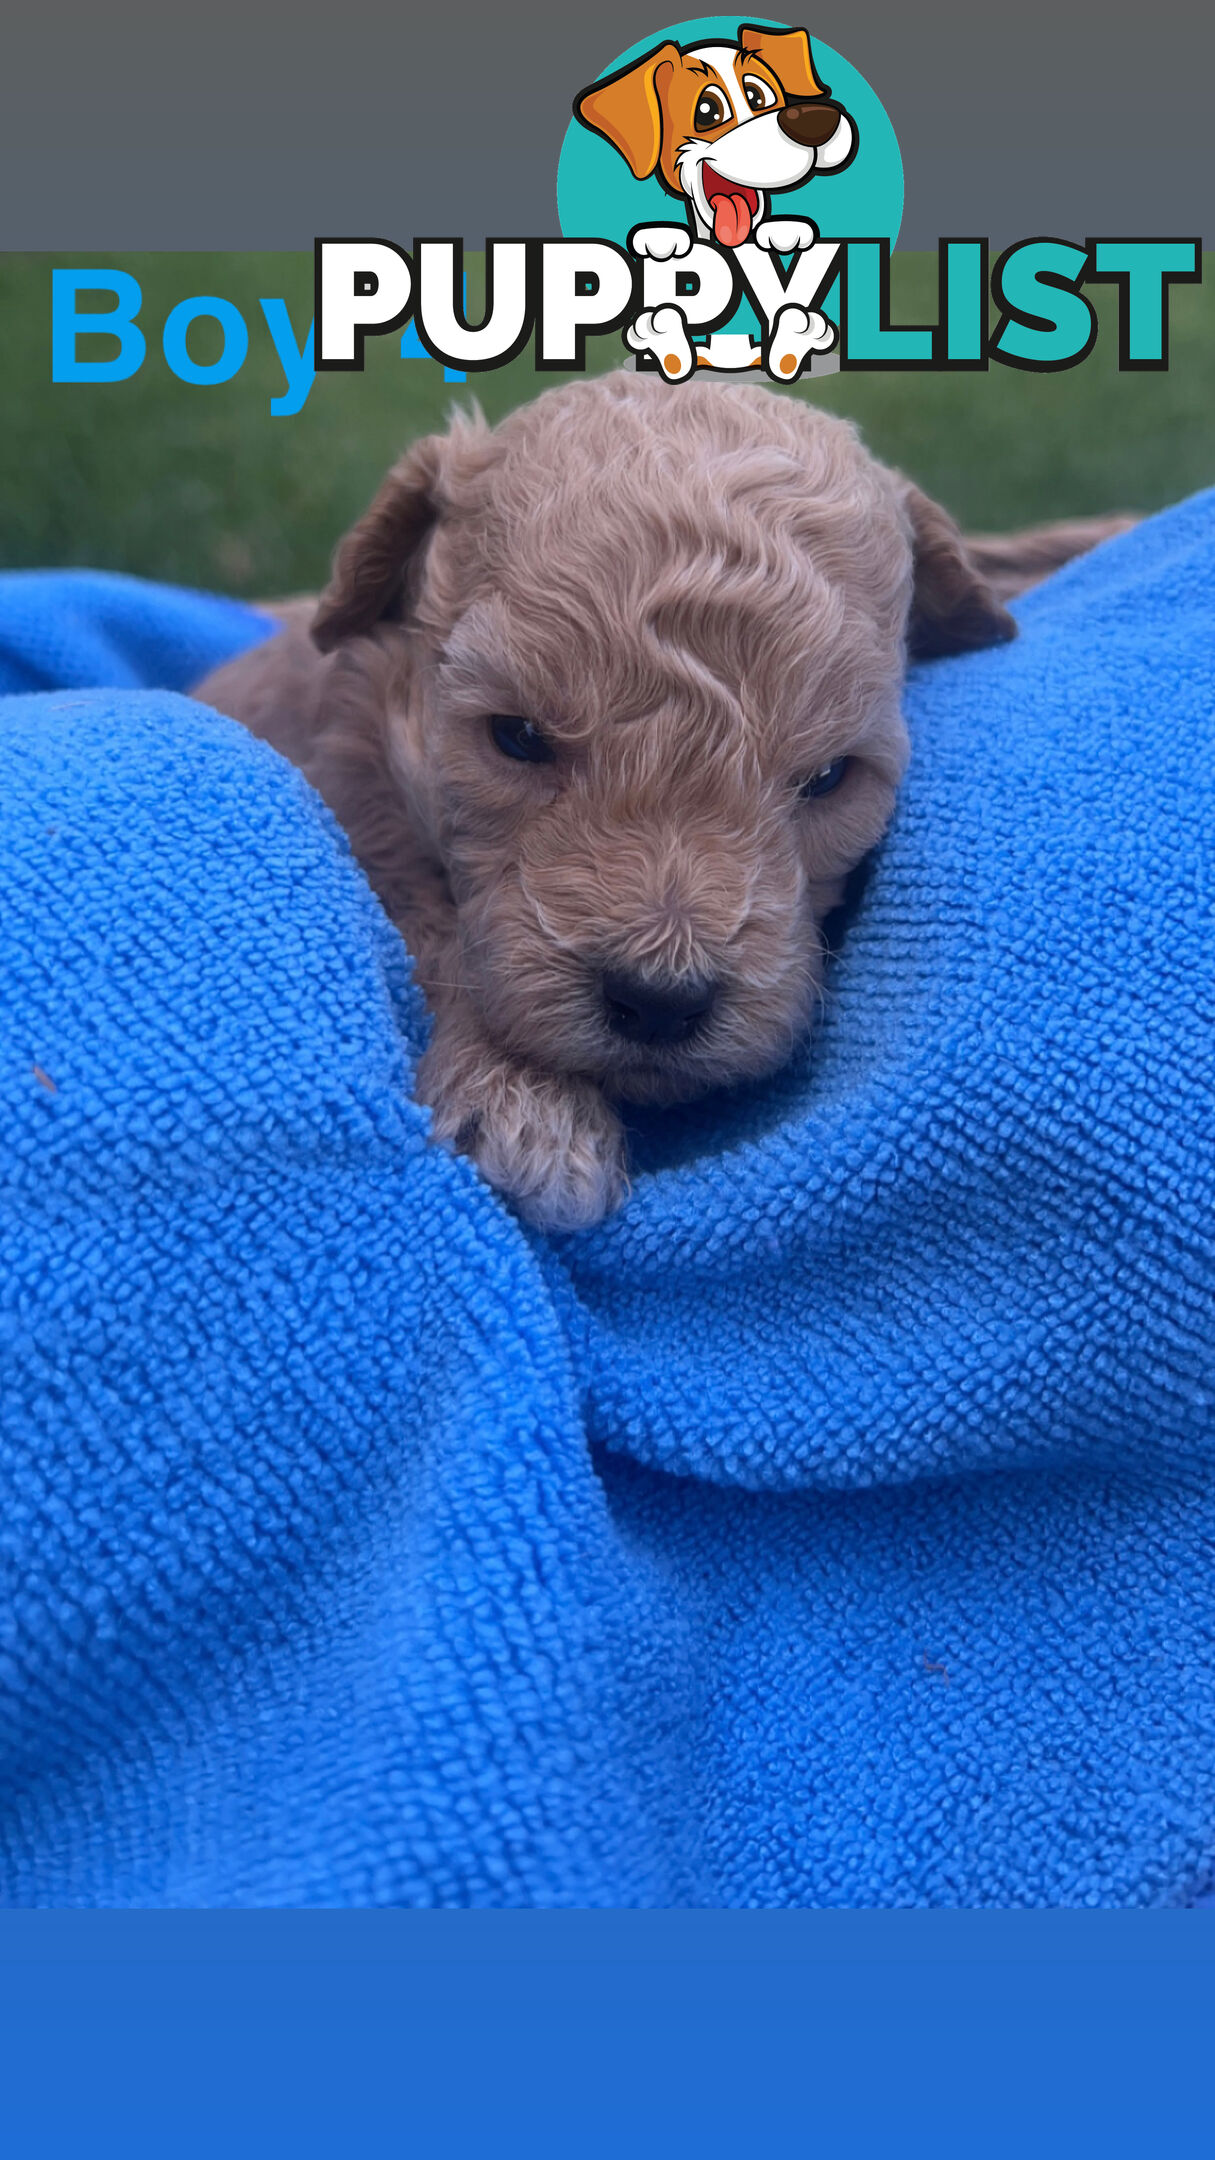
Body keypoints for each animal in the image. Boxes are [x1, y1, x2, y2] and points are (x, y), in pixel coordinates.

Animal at [196, 375, 1115, 1235]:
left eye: (827, 777)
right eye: (517, 736)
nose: (659, 1001)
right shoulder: (362, 792)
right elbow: (433, 927)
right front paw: (527, 1104)